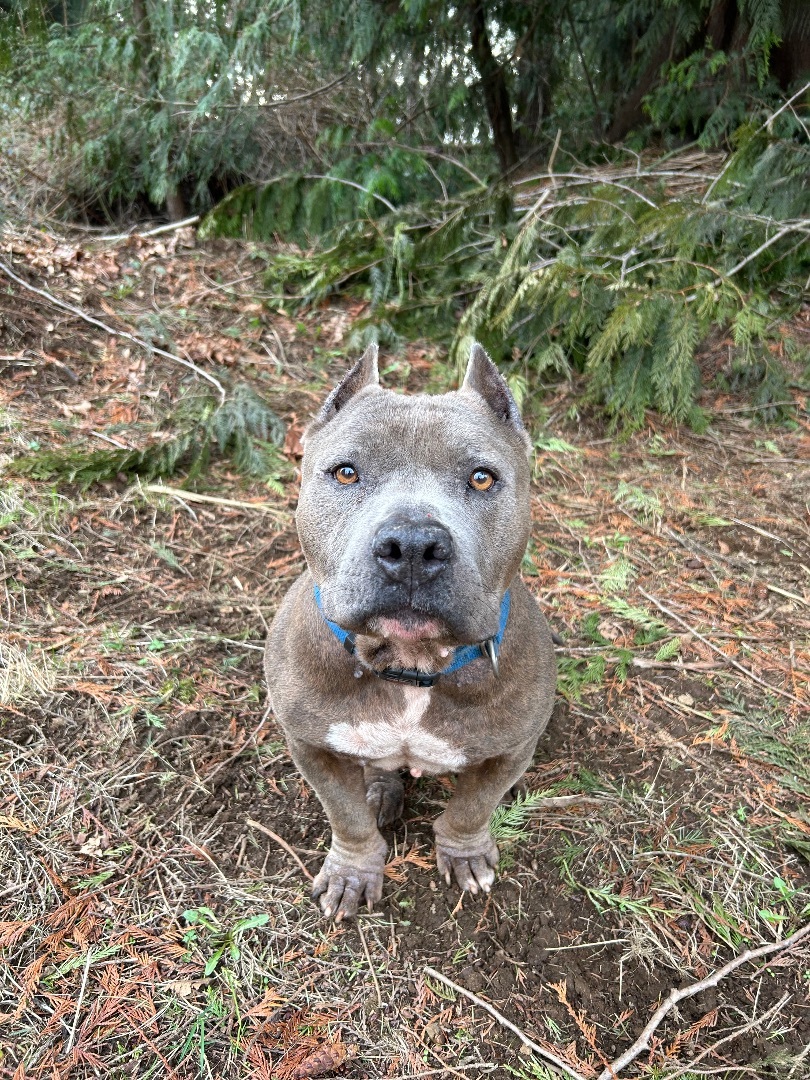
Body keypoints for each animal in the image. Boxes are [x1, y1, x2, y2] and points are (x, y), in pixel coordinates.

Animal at [266, 341, 557, 915]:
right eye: (346, 472)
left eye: (482, 477)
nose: (414, 546)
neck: (409, 662)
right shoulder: (309, 745)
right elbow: (346, 817)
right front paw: (353, 870)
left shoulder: (511, 750)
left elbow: (472, 807)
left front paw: (465, 852)